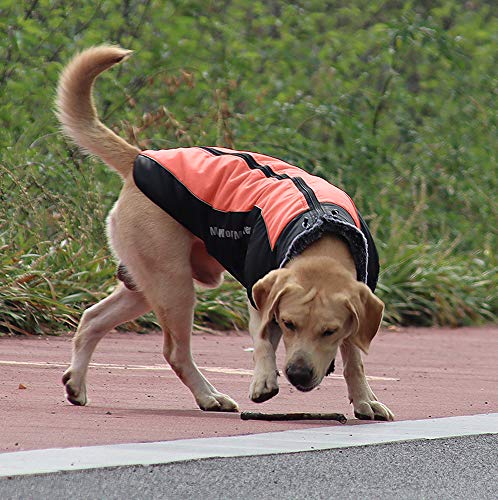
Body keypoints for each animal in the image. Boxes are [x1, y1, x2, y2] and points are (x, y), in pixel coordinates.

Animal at [56, 47, 394, 422]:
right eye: (288, 324)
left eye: (329, 331)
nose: (297, 374)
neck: (320, 232)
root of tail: (139, 158)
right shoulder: (260, 295)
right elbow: (262, 340)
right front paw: (263, 380)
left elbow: (354, 358)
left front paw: (364, 400)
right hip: (173, 286)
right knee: (175, 351)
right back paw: (209, 396)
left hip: (145, 286)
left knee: (92, 319)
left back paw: (77, 384)